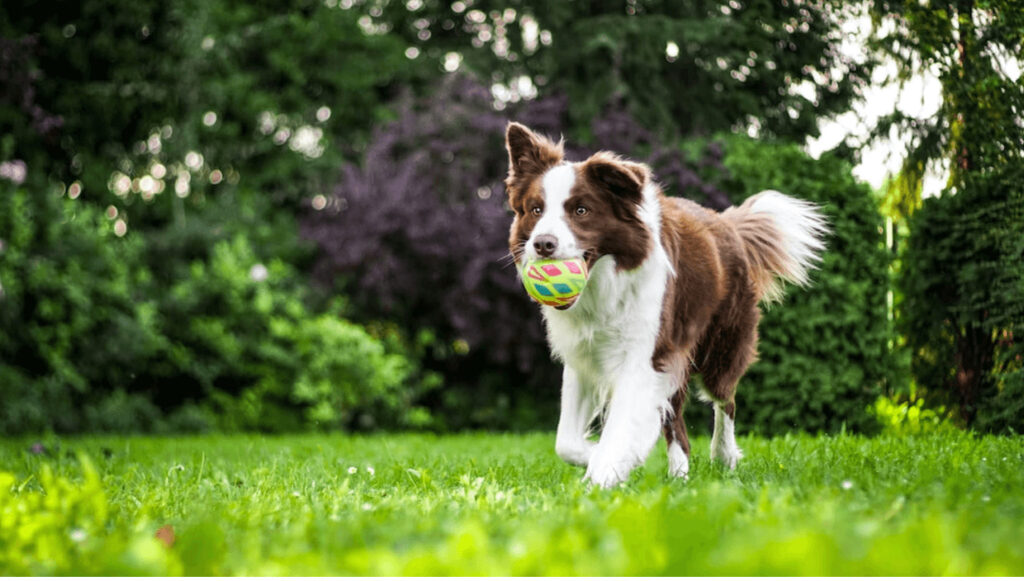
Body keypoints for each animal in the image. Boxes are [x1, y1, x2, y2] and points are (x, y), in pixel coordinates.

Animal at [503, 123, 831, 491]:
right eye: (535, 210)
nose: (543, 244)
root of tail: (727, 223)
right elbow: (566, 442)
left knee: (725, 400)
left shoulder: (646, 356)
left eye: (581, 211)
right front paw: (605, 458)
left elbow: (620, 428)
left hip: (720, 346)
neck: (604, 285)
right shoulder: (584, 357)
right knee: (678, 424)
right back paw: (679, 475)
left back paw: (724, 456)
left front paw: (603, 475)